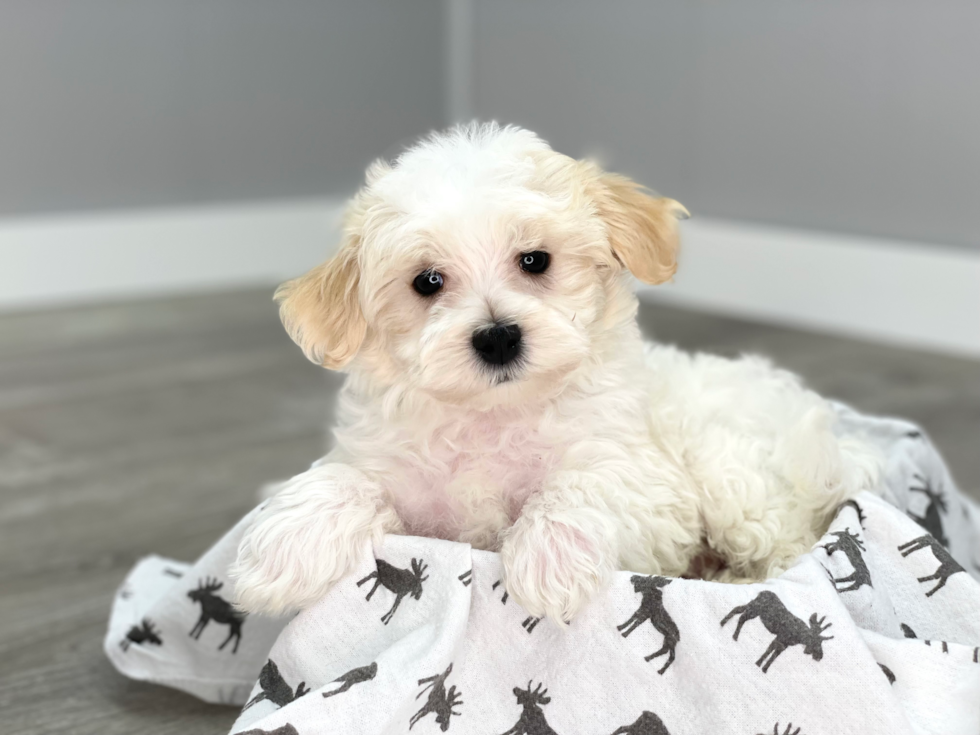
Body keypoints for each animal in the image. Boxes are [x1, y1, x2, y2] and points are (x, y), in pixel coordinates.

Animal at [232, 123, 880, 624]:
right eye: (427, 281)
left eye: (535, 260)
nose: (497, 336)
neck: (494, 417)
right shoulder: (406, 486)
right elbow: (346, 477)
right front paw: (283, 549)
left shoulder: (648, 488)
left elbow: (580, 483)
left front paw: (549, 560)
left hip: (733, 476)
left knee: (787, 550)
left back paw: (730, 583)